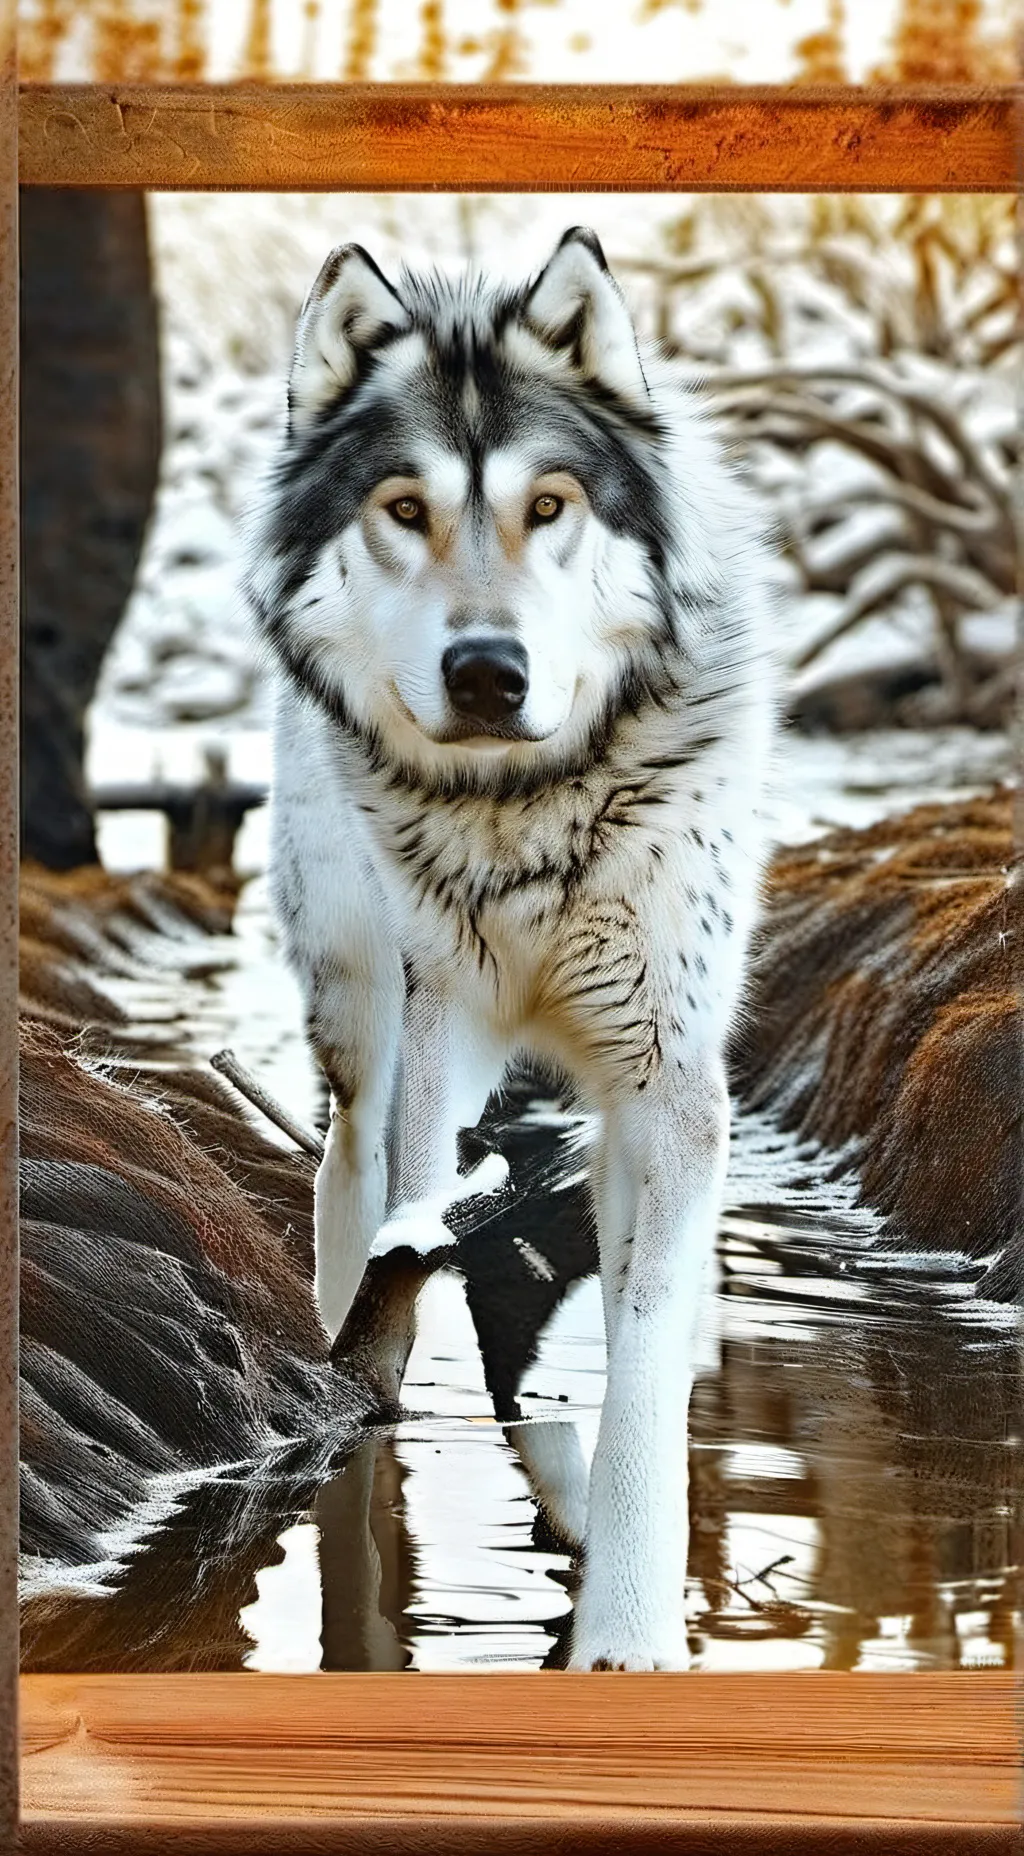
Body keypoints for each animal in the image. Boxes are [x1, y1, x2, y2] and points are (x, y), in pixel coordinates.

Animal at [245, 227, 776, 1671]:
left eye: (548, 506)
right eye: (404, 509)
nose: (488, 670)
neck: (528, 821)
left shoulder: (665, 1085)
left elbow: (639, 1359)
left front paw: (628, 1633)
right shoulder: (444, 1051)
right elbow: (427, 1279)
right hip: (362, 1024)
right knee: (352, 1187)